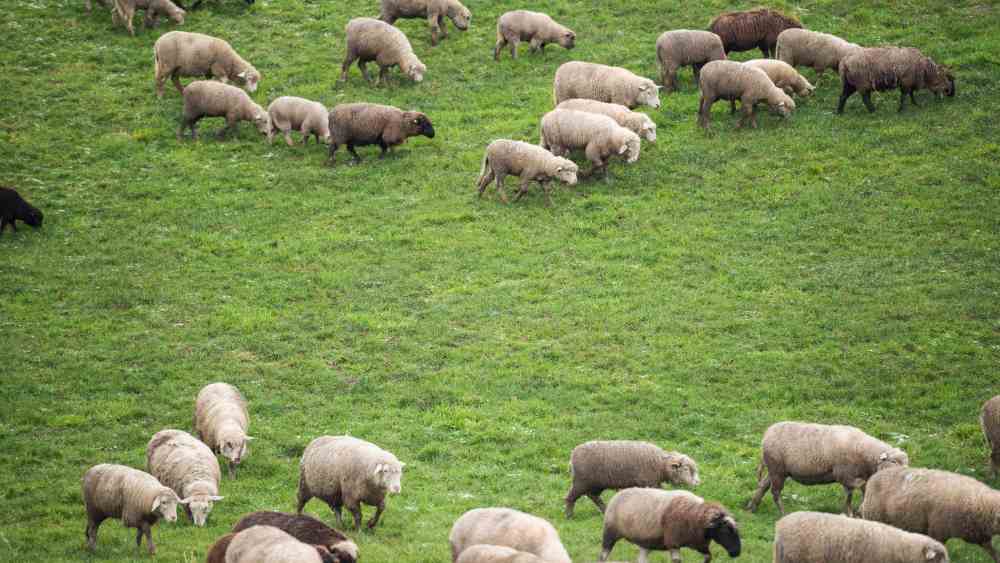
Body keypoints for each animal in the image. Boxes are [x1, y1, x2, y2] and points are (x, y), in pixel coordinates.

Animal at [565, 440, 700, 518]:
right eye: (686, 469)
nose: (697, 483)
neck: (660, 464)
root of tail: (572, 454)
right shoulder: (649, 482)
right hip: (581, 482)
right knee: (571, 497)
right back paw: (569, 515)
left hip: (596, 484)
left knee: (594, 496)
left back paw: (605, 510)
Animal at [599, 488, 741, 563]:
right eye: (725, 530)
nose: (736, 552)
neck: (694, 513)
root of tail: (619, 493)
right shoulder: (673, 543)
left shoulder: (700, 544)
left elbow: (708, 557)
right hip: (610, 533)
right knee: (603, 556)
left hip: (646, 542)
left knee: (641, 560)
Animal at [746, 421, 909, 517]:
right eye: (893, 462)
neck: (863, 451)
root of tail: (766, 435)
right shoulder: (844, 474)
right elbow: (859, 489)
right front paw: (854, 511)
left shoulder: (850, 477)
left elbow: (855, 493)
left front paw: (854, 511)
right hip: (777, 469)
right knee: (775, 492)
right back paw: (783, 513)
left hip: (776, 470)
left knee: (763, 486)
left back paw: (752, 507)